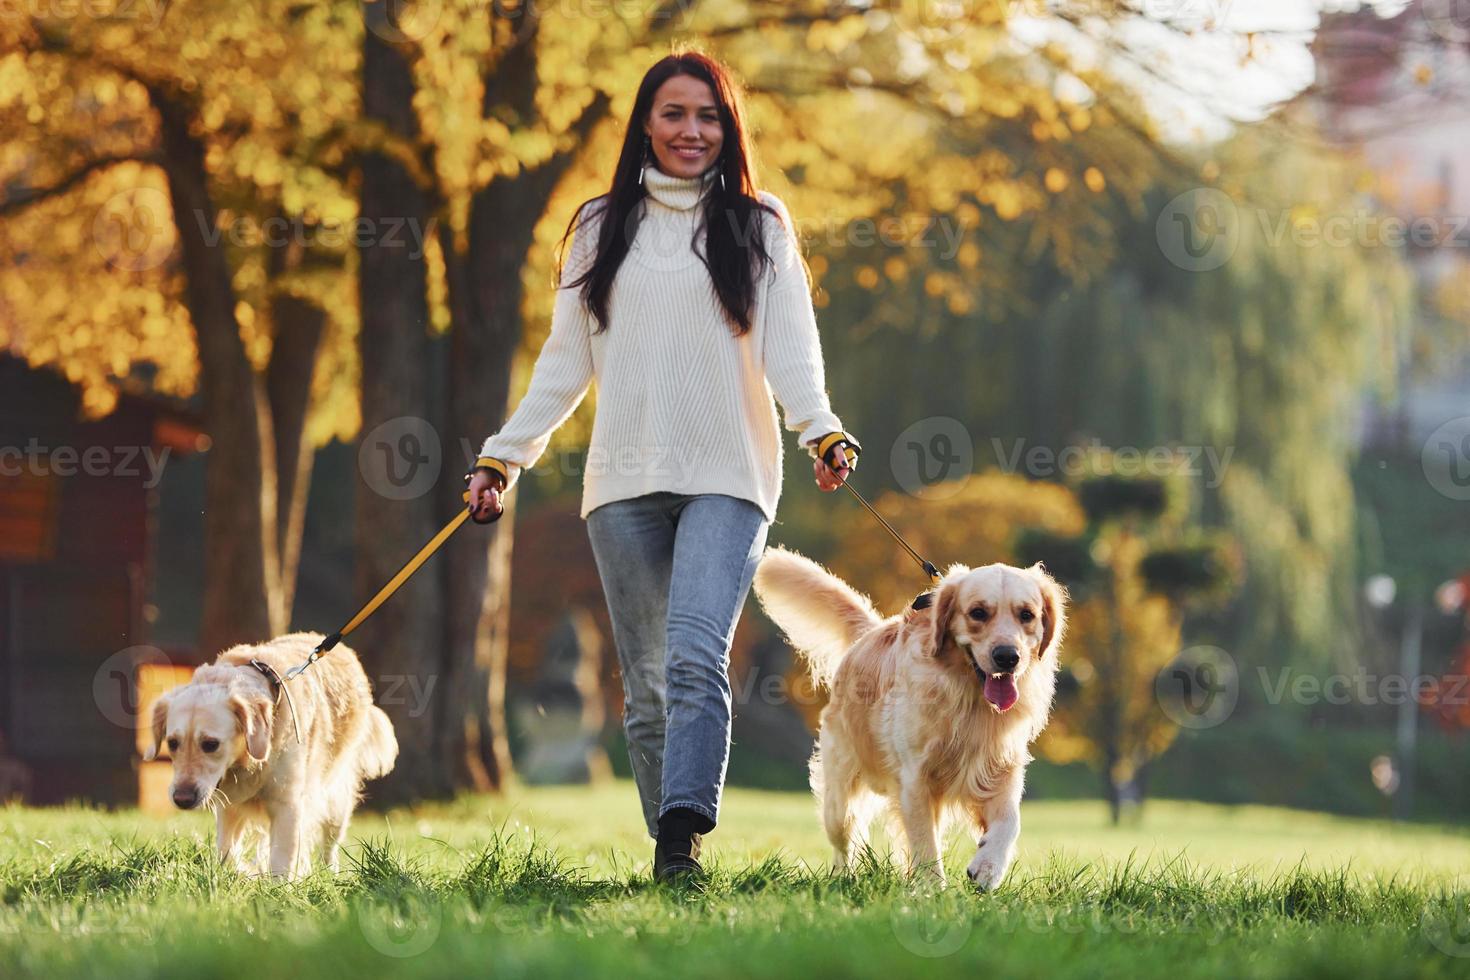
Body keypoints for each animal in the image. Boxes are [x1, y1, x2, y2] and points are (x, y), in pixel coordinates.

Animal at [144, 637, 399, 881]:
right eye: (172, 743)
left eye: (210, 744)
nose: (182, 799)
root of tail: (347, 652)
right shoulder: (229, 807)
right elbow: (227, 852)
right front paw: (243, 873)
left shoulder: (289, 805)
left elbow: (282, 862)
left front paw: (278, 889)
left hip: (336, 800)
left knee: (329, 847)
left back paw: (330, 874)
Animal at [758, 549, 1070, 893]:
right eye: (977, 613)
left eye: (1026, 615)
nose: (1007, 657)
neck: (969, 701)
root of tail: (866, 636)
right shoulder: (916, 779)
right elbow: (925, 844)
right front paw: (933, 891)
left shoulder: (1001, 768)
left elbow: (1010, 821)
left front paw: (988, 867)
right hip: (839, 794)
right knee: (844, 839)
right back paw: (843, 878)